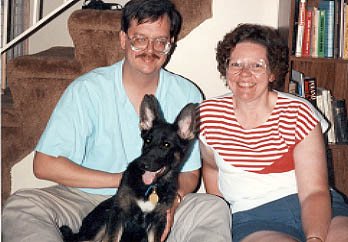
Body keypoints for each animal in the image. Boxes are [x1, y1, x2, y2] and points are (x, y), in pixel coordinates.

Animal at [59, 94, 198, 242]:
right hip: (100, 224)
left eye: (166, 145)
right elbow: (112, 238)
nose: (143, 164)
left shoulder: (157, 222)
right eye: (147, 141)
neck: (152, 187)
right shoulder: (118, 214)